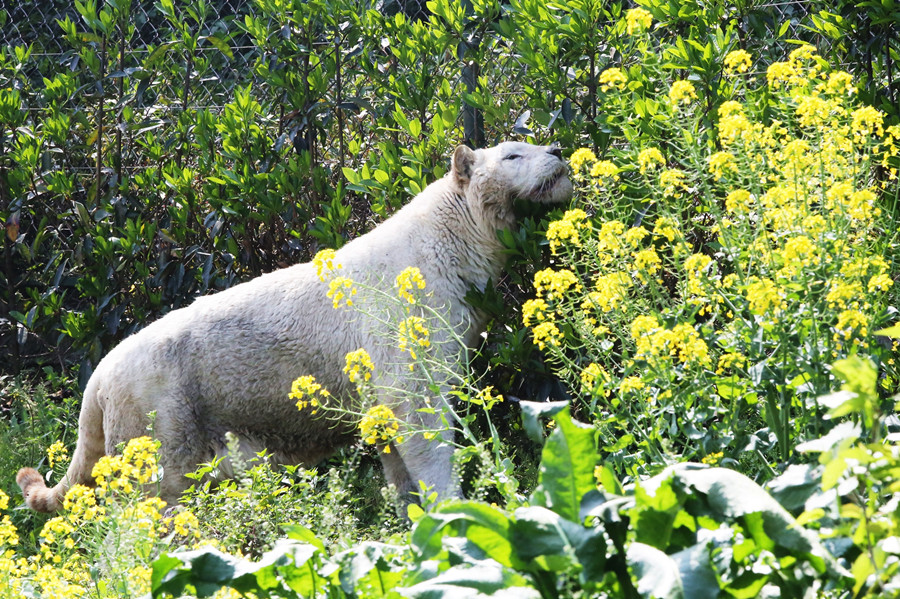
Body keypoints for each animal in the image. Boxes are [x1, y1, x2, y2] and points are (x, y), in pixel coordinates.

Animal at [17, 141, 572, 510]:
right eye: (513, 154)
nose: (558, 147)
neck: (449, 241)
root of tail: (97, 379)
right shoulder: (406, 343)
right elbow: (421, 428)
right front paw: (455, 512)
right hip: (160, 414)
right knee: (158, 495)